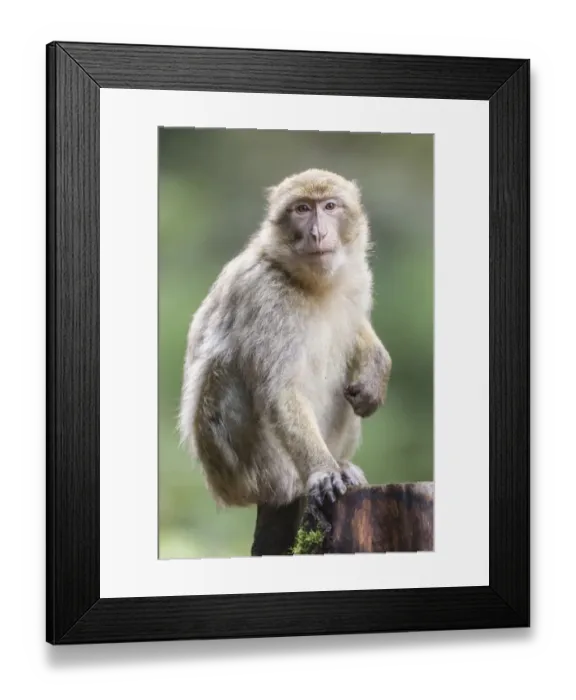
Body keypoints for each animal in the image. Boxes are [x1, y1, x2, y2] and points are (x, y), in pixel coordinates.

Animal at [178, 168, 392, 551]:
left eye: (330, 206)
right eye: (302, 209)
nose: (318, 232)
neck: (310, 284)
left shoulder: (357, 279)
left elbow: (357, 331)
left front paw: (376, 368)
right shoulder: (266, 296)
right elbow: (280, 390)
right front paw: (322, 471)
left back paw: (343, 464)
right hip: (245, 470)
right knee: (223, 371)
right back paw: (300, 482)